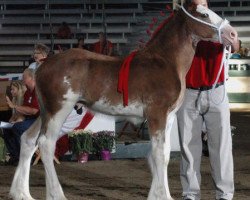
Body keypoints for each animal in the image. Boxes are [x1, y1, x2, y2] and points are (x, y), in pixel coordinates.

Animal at [9, 1, 238, 200]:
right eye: (204, 14)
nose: (233, 35)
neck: (165, 61)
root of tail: (43, 66)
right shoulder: (156, 114)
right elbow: (159, 155)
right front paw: (162, 195)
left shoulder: (169, 117)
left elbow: (162, 154)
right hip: (59, 109)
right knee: (46, 144)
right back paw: (56, 194)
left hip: (44, 111)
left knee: (28, 140)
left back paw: (21, 193)